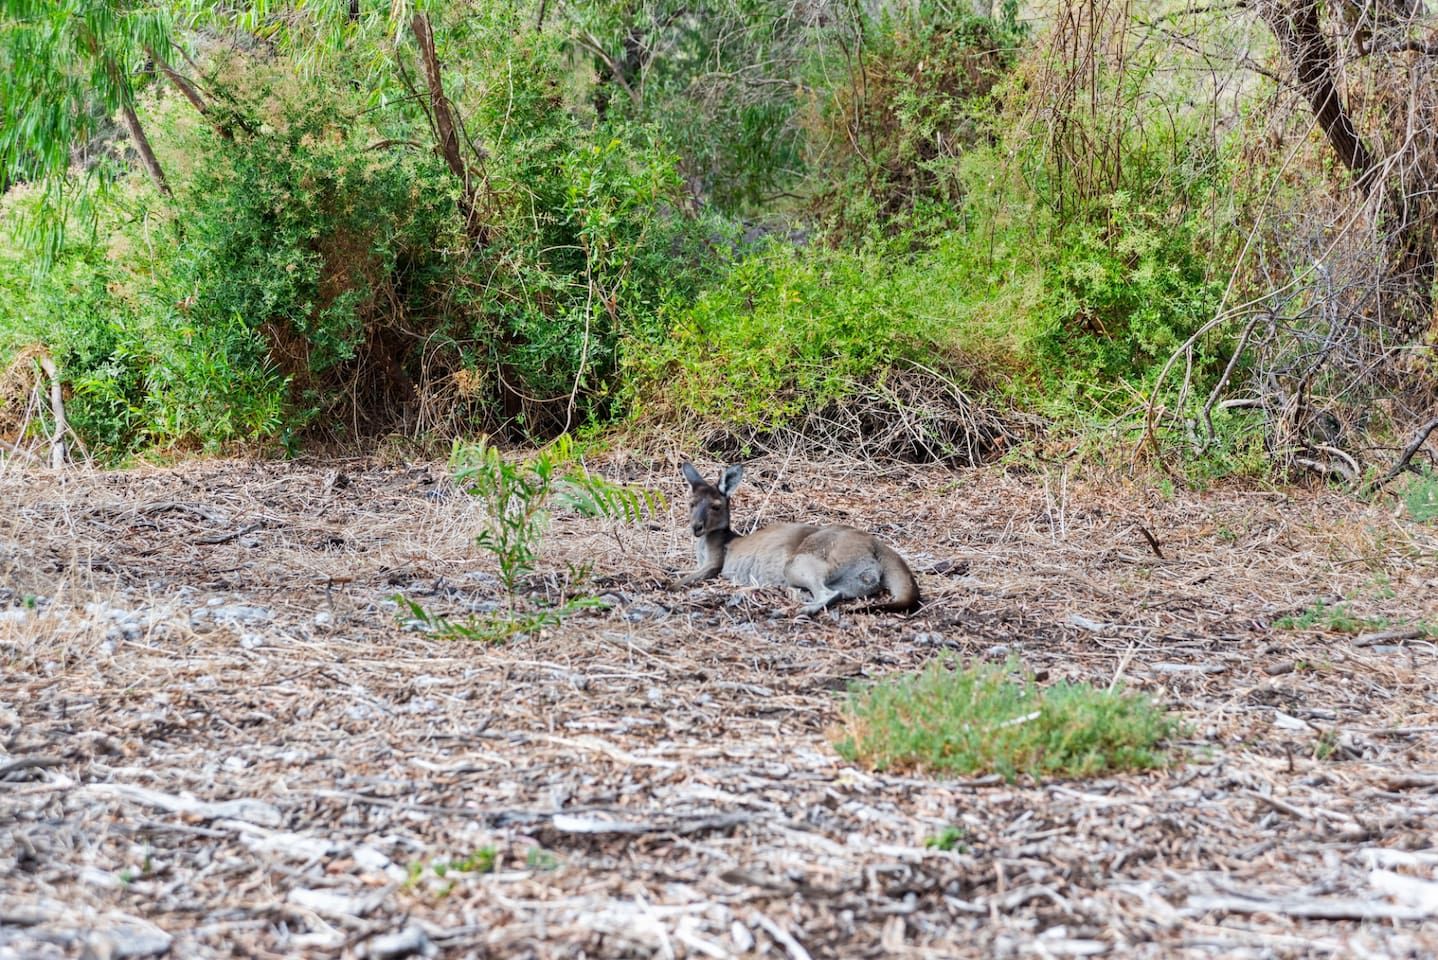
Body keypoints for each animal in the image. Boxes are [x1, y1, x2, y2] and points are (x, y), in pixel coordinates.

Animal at [678, 462, 920, 616]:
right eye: (691, 504)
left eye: (715, 507)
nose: (696, 527)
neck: (711, 539)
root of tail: (876, 544)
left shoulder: (715, 562)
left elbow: (690, 577)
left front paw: (671, 585)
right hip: (855, 581)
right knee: (835, 593)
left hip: (803, 560)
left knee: (829, 594)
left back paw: (794, 611)